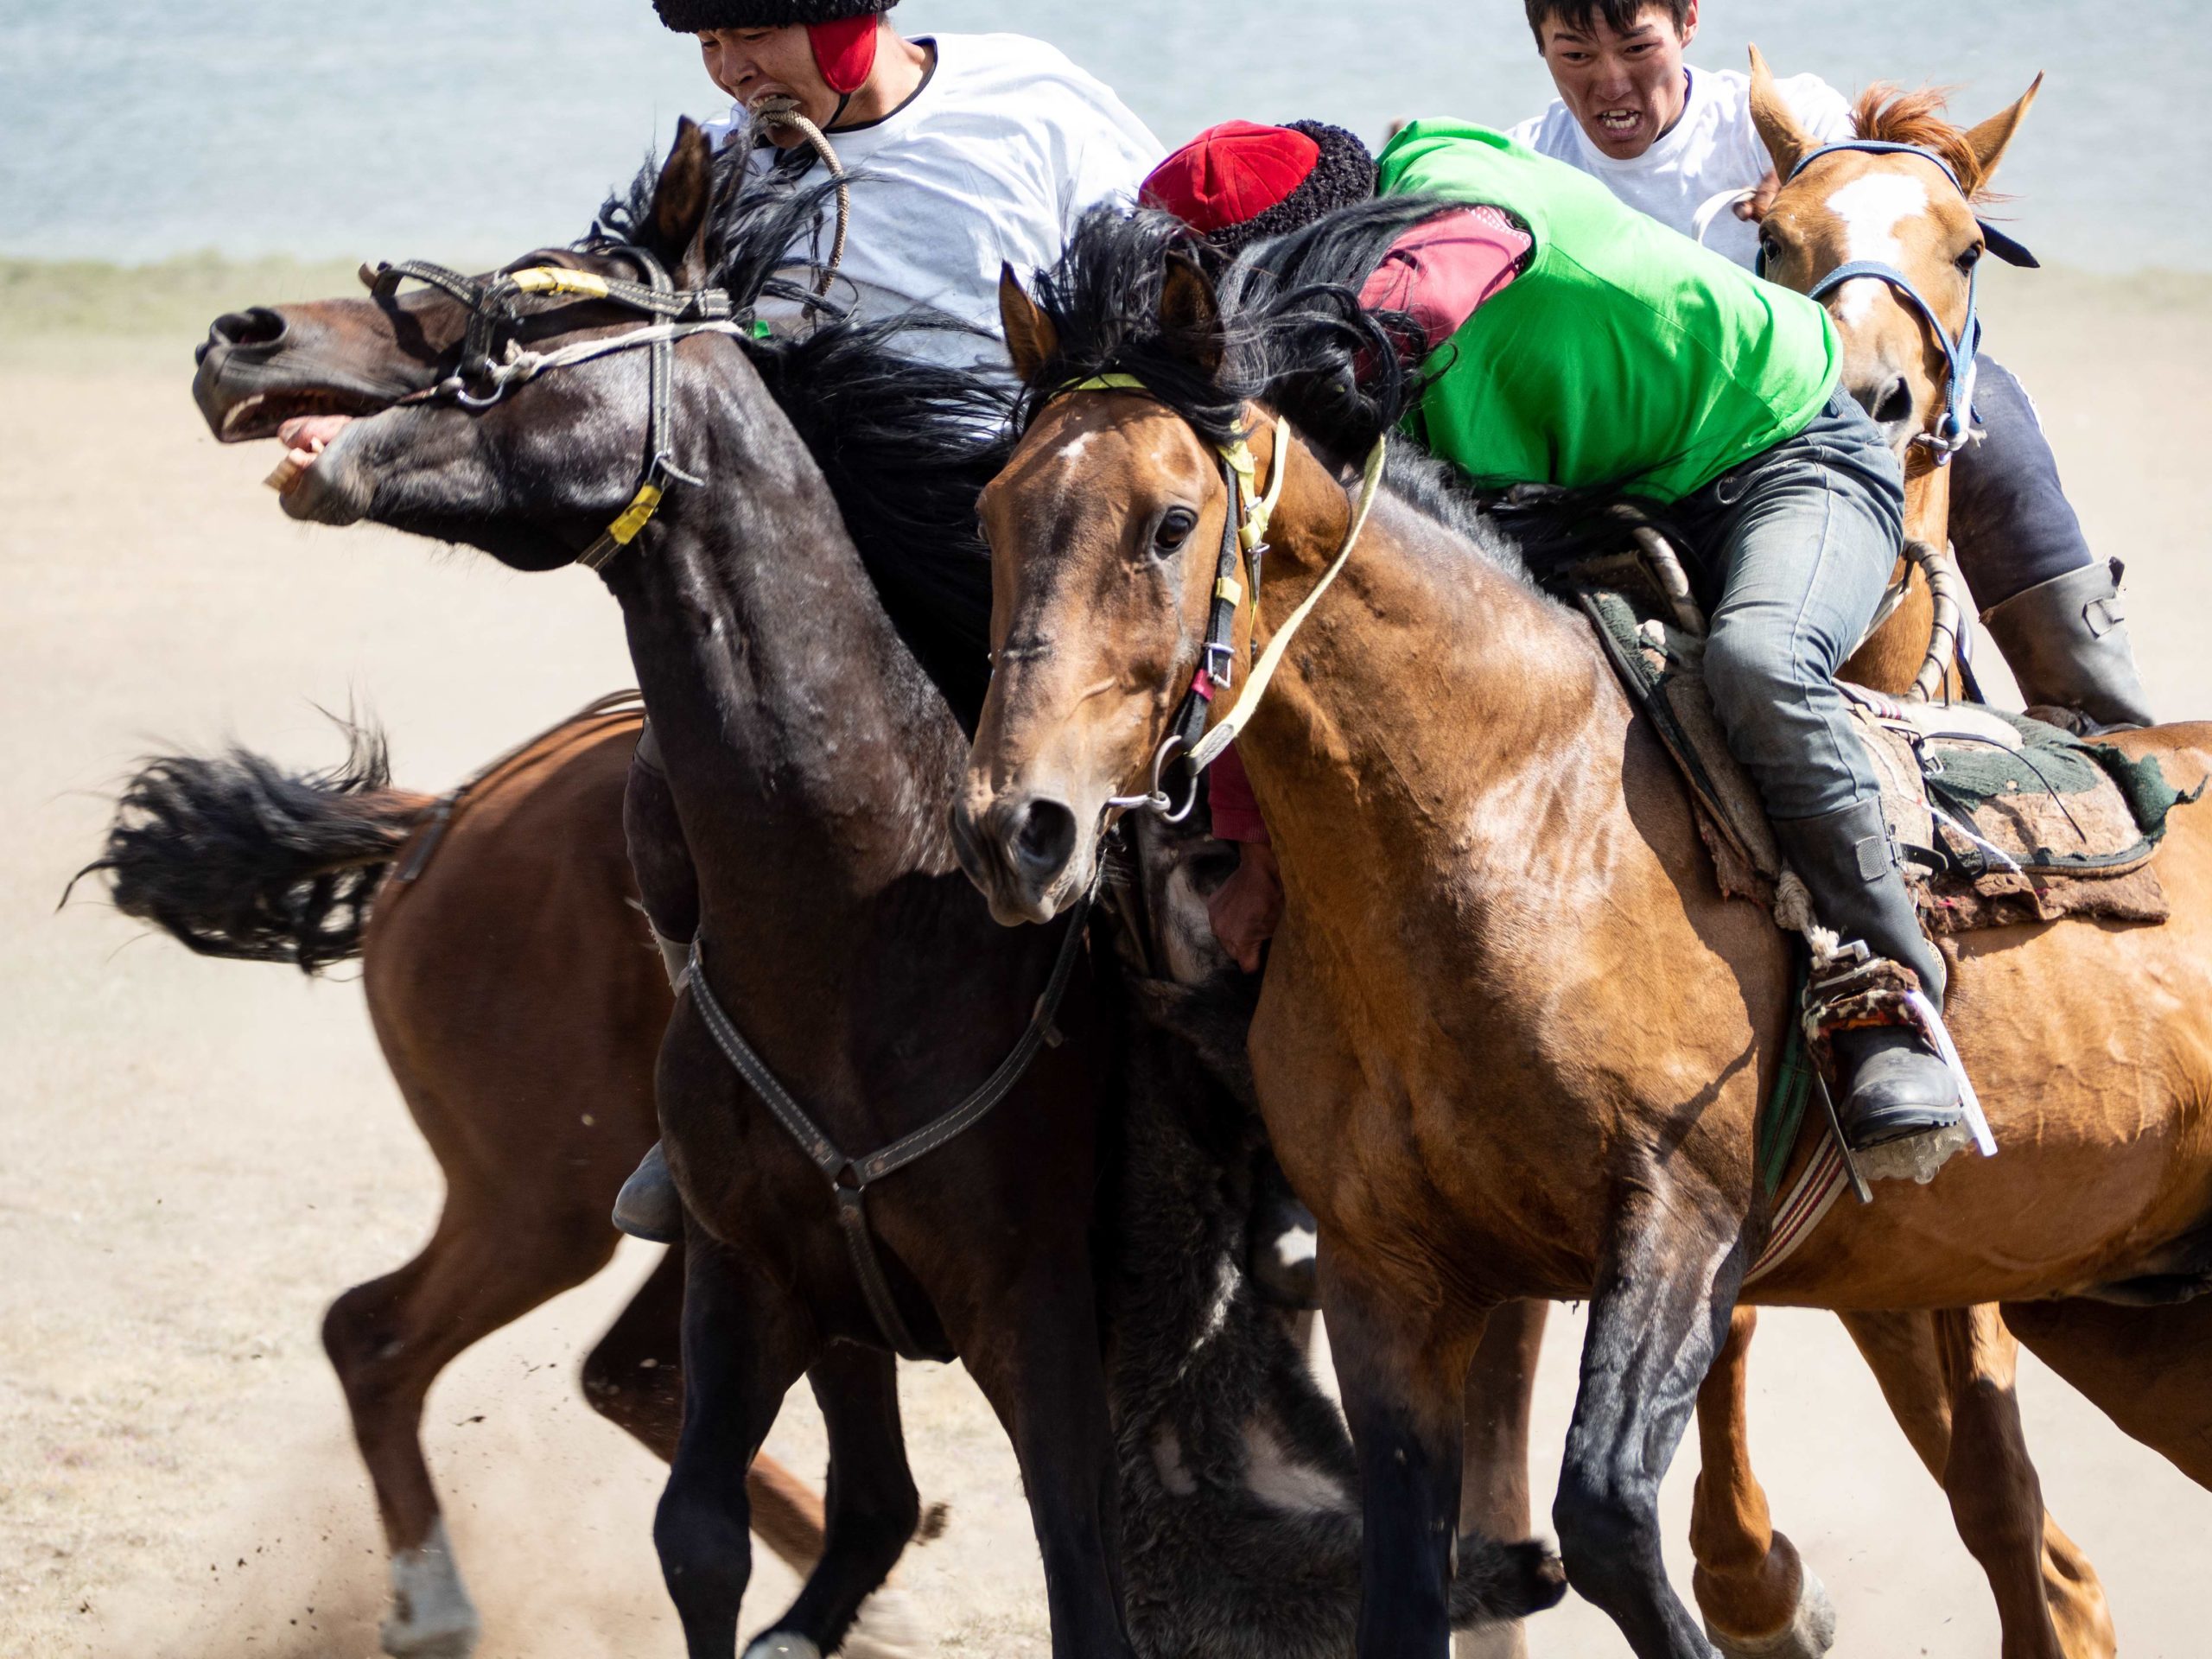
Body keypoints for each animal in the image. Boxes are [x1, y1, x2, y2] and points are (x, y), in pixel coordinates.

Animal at [176, 119, 1557, 1659]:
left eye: (536, 309)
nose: (247, 336)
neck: (864, 913)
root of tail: (443, 821)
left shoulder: (1031, 1317)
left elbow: (1080, 1575)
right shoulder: (751, 1272)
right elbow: (699, 1542)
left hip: (545, 1205)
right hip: (554, 1203)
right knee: (410, 1342)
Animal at [950, 207, 2212, 1659]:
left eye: (1167, 524)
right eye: (991, 513)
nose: (1018, 827)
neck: (1509, 814)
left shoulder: (1682, 1216)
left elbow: (1607, 1515)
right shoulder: (1389, 1282)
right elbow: (1411, 1572)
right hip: (2118, 1307)